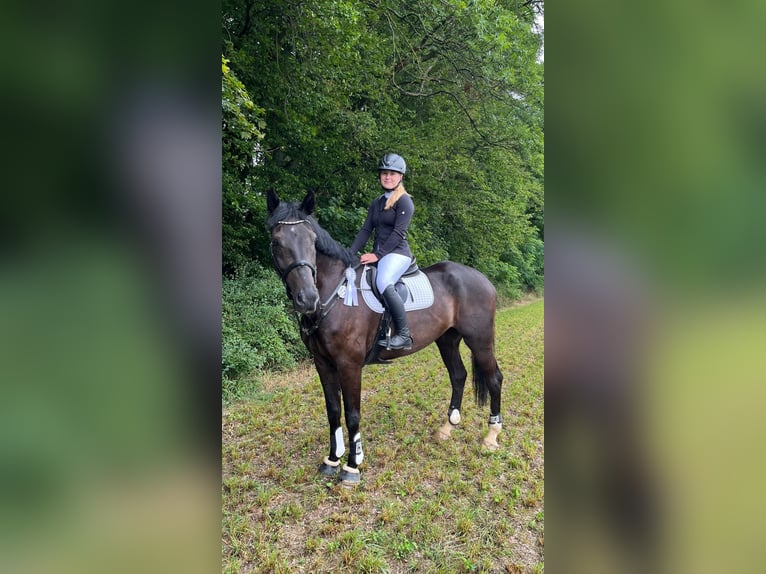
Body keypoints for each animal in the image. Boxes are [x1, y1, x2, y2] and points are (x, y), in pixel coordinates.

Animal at [266, 189, 504, 485]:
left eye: (311, 240)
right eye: (277, 241)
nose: (308, 299)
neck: (334, 294)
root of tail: (483, 279)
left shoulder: (349, 365)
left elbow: (352, 413)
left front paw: (352, 467)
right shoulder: (322, 363)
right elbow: (333, 411)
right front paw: (331, 460)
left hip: (480, 340)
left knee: (494, 379)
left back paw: (491, 437)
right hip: (447, 339)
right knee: (458, 375)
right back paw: (446, 429)